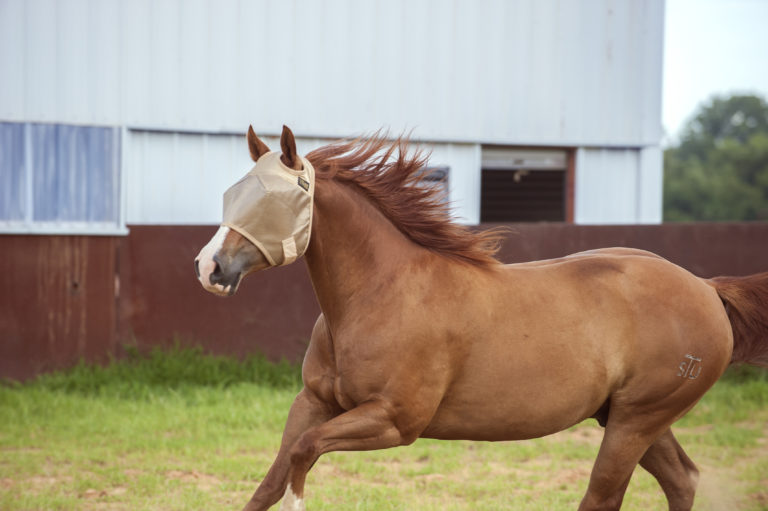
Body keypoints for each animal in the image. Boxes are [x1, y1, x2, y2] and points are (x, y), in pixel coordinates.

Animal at [196, 125, 768, 511]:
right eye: (231, 193)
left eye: (270, 200)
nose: (209, 267)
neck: (380, 294)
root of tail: (707, 289)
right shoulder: (313, 403)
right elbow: (269, 481)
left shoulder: (394, 421)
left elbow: (302, 457)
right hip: (631, 418)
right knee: (683, 480)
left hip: (636, 420)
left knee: (604, 497)